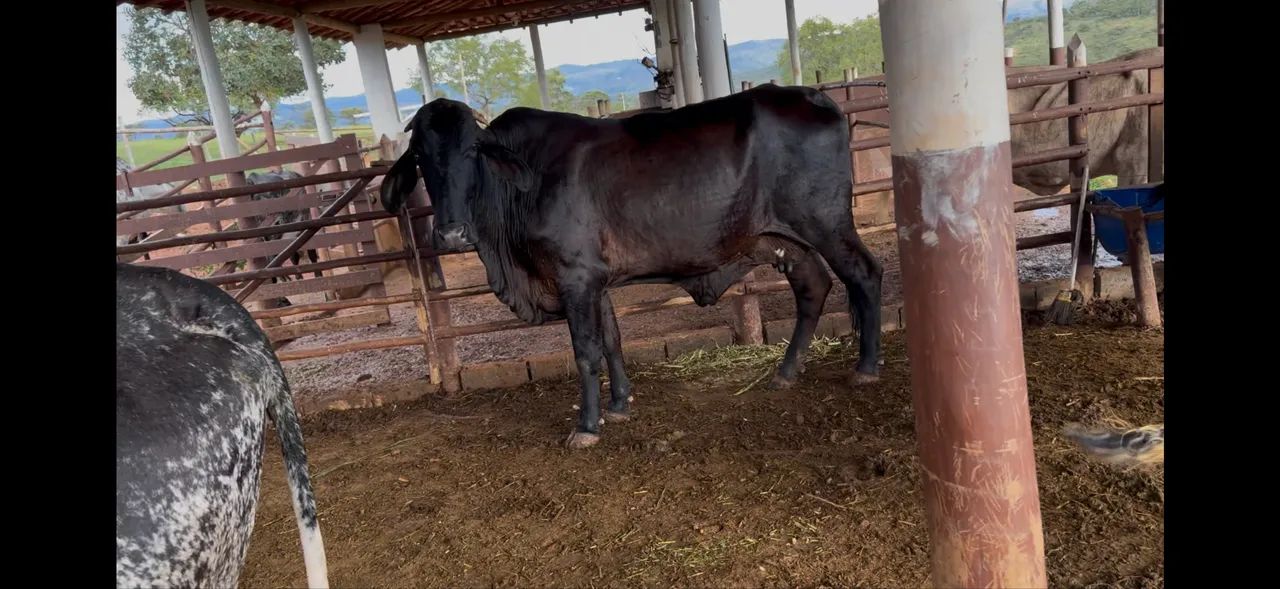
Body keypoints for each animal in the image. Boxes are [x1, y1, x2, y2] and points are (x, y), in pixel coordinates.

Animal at [379, 86, 883, 449]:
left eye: (472, 152)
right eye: (420, 157)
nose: (450, 234)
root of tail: (813, 95)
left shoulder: (575, 277)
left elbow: (585, 352)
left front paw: (587, 425)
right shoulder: (595, 281)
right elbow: (612, 341)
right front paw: (620, 403)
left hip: (827, 223)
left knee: (865, 274)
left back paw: (866, 367)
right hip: (785, 240)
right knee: (813, 287)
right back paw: (786, 371)